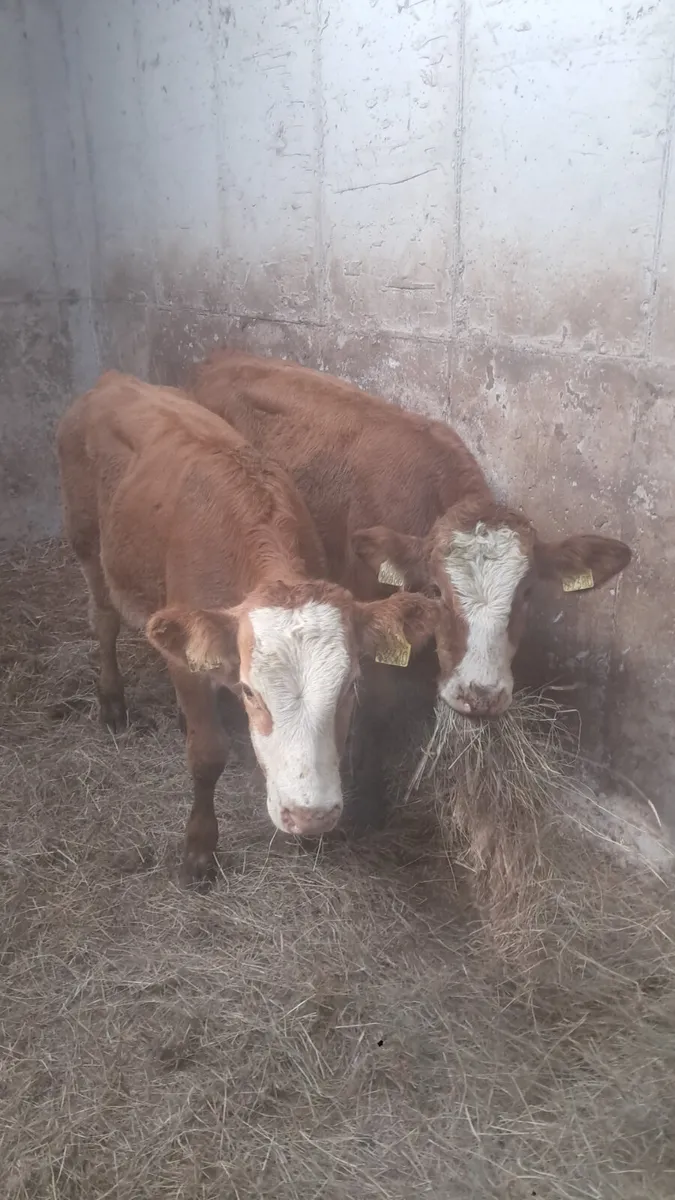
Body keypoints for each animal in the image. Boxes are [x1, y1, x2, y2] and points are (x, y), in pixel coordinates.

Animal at [56, 371, 440, 885]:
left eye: (350, 687)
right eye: (251, 692)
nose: (310, 815)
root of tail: (113, 380)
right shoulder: (187, 666)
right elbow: (207, 755)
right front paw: (200, 850)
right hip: (86, 540)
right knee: (103, 618)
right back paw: (113, 704)